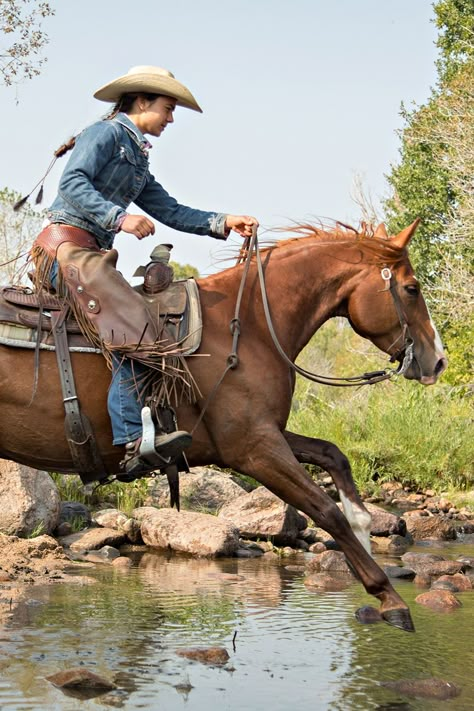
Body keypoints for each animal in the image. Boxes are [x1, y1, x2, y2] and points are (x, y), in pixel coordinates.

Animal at [0, 220, 446, 632]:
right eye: (412, 288)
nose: (437, 361)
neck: (252, 326)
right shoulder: (253, 449)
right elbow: (325, 511)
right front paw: (388, 597)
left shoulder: (262, 434)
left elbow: (333, 456)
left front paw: (365, 527)